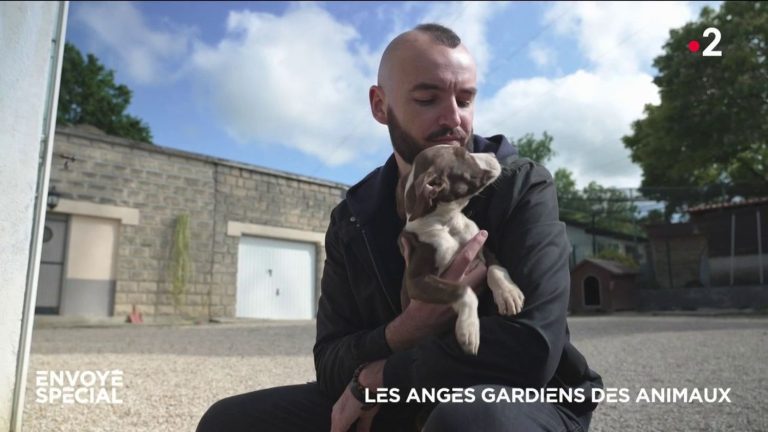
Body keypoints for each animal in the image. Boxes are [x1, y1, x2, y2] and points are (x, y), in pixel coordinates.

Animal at [400, 145, 524, 354]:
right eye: (464, 155)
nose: (492, 154)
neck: (449, 222)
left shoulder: (481, 243)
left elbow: (495, 267)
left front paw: (508, 292)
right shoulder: (415, 281)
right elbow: (462, 289)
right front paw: (469, 328)